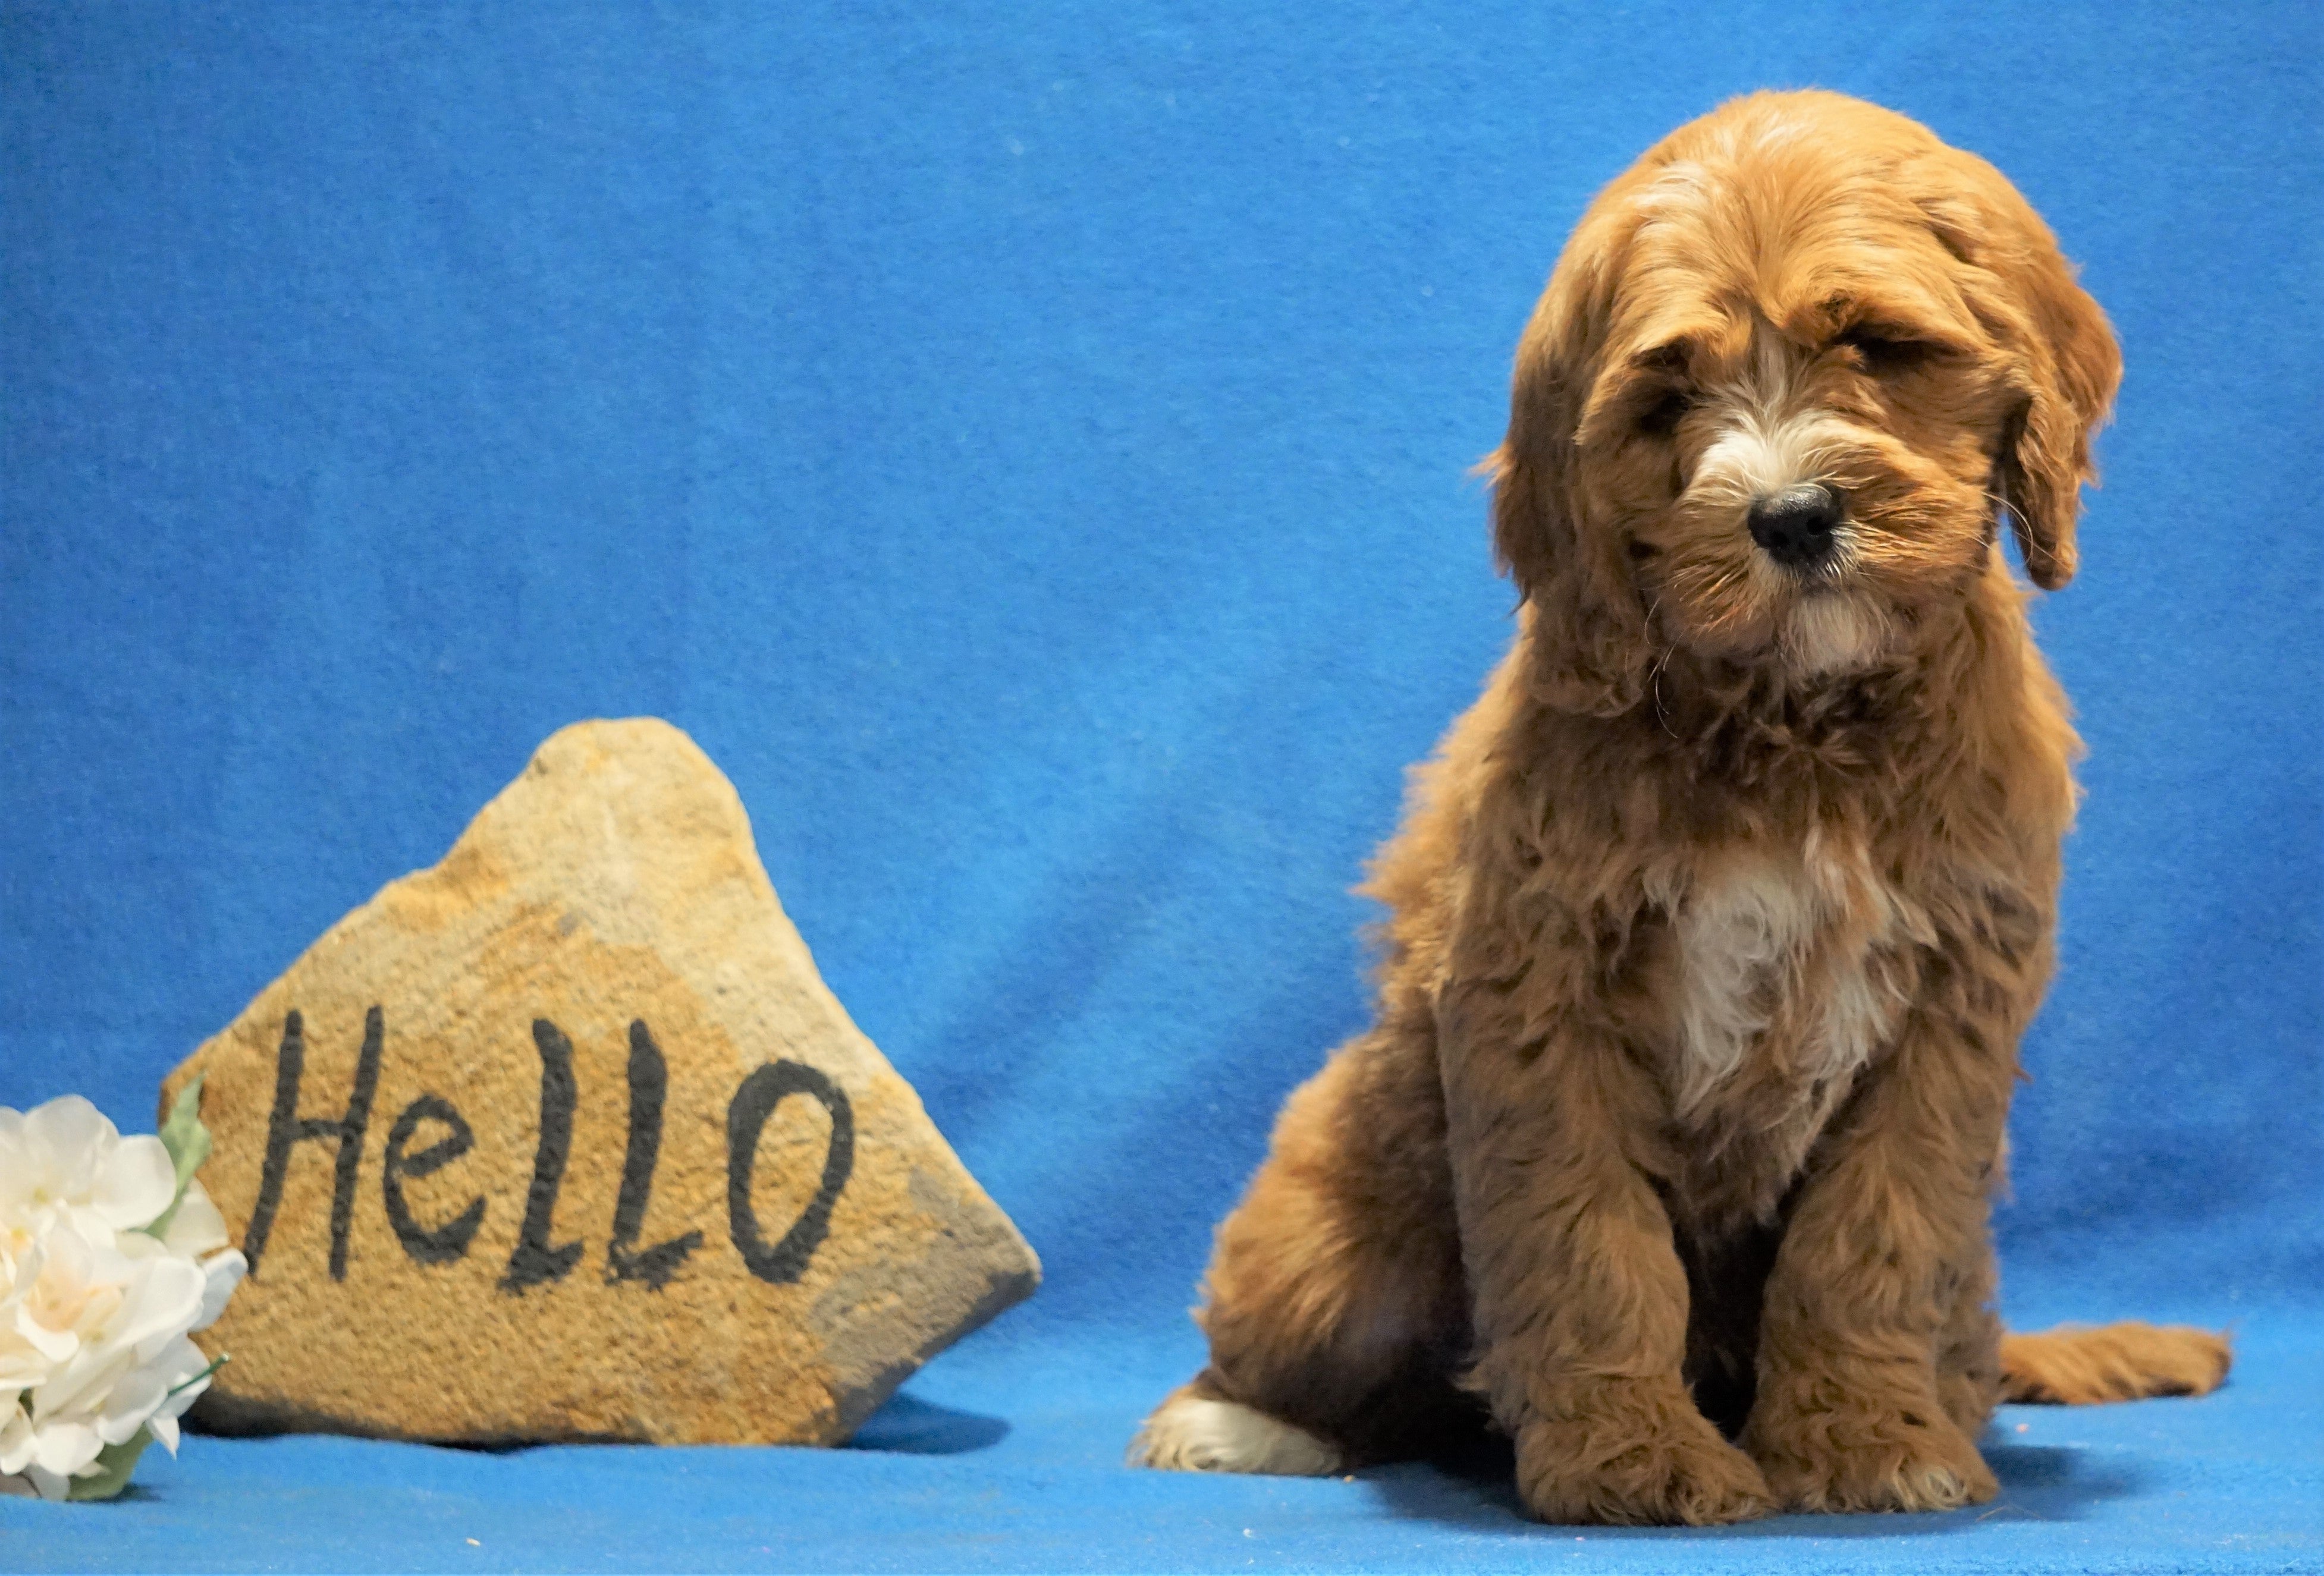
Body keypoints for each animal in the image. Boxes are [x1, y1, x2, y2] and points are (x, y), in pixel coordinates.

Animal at [1134, 89, 2222, 1534]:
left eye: (1878, 346)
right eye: (1668, 398)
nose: (1791, 515)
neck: (1793, 722)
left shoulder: (1947, 1011)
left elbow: (1874, 1233)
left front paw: (1861, 1437)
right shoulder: (1538, 984)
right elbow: (1584, 1234)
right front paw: (1625, 1451)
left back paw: (1935, 1404)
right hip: (1330, 1234)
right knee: (1326, 1346)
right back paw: (1232, 1420)